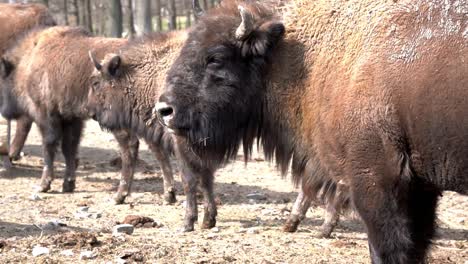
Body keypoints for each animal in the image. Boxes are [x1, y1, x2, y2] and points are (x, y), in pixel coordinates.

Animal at [0, 25, 176, 204]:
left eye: (3, 79)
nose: (5, 112)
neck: (28, 60)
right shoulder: (71, 119)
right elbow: (69, 148)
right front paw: (68, 184)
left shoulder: (46, 115)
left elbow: (49, 147)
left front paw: (44, 185)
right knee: (157, 148)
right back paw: (169, 194)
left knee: (131, 148)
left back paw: (120, 196)